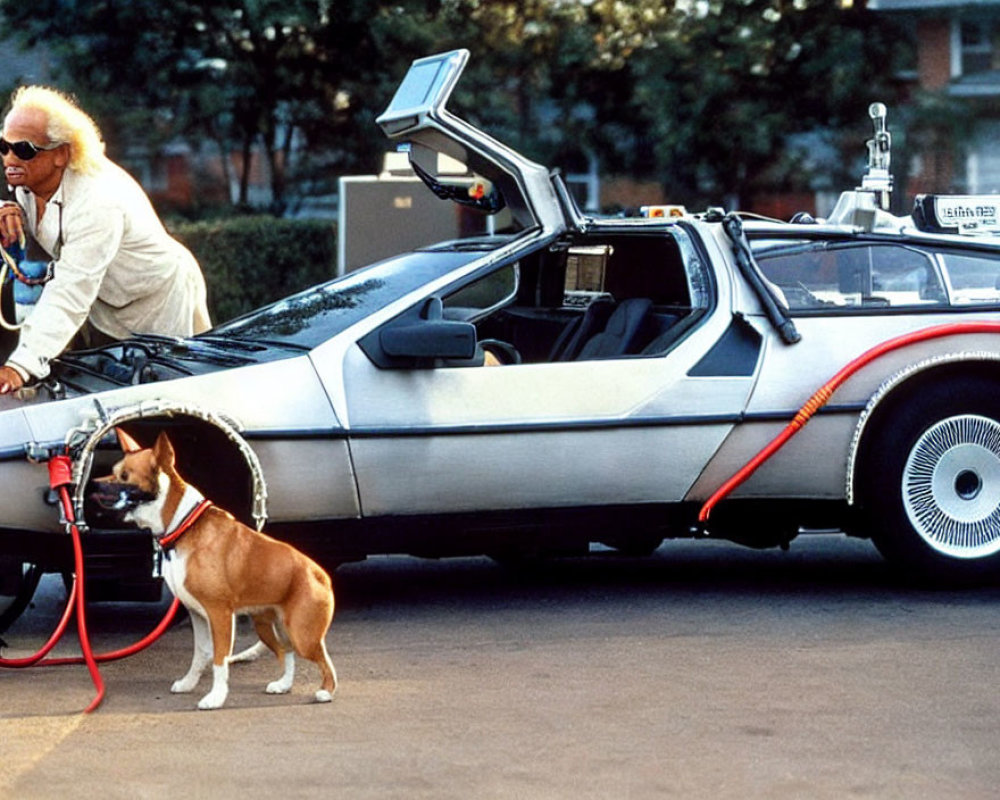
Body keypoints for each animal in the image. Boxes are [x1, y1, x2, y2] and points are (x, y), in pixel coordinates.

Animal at [94, 432, 336, 708]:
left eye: (125, 476)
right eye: (113, 471)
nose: (93, 486)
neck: (182, 527)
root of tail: (321, 574)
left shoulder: (219, 614)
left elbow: (219, 660)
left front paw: (216, 697)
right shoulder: (197, 614)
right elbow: (201, 655)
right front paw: (189, 684)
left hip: (302, 635)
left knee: (325, 661)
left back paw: (326, 691)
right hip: (268, 628)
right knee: (287, 652)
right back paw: (283, 685)